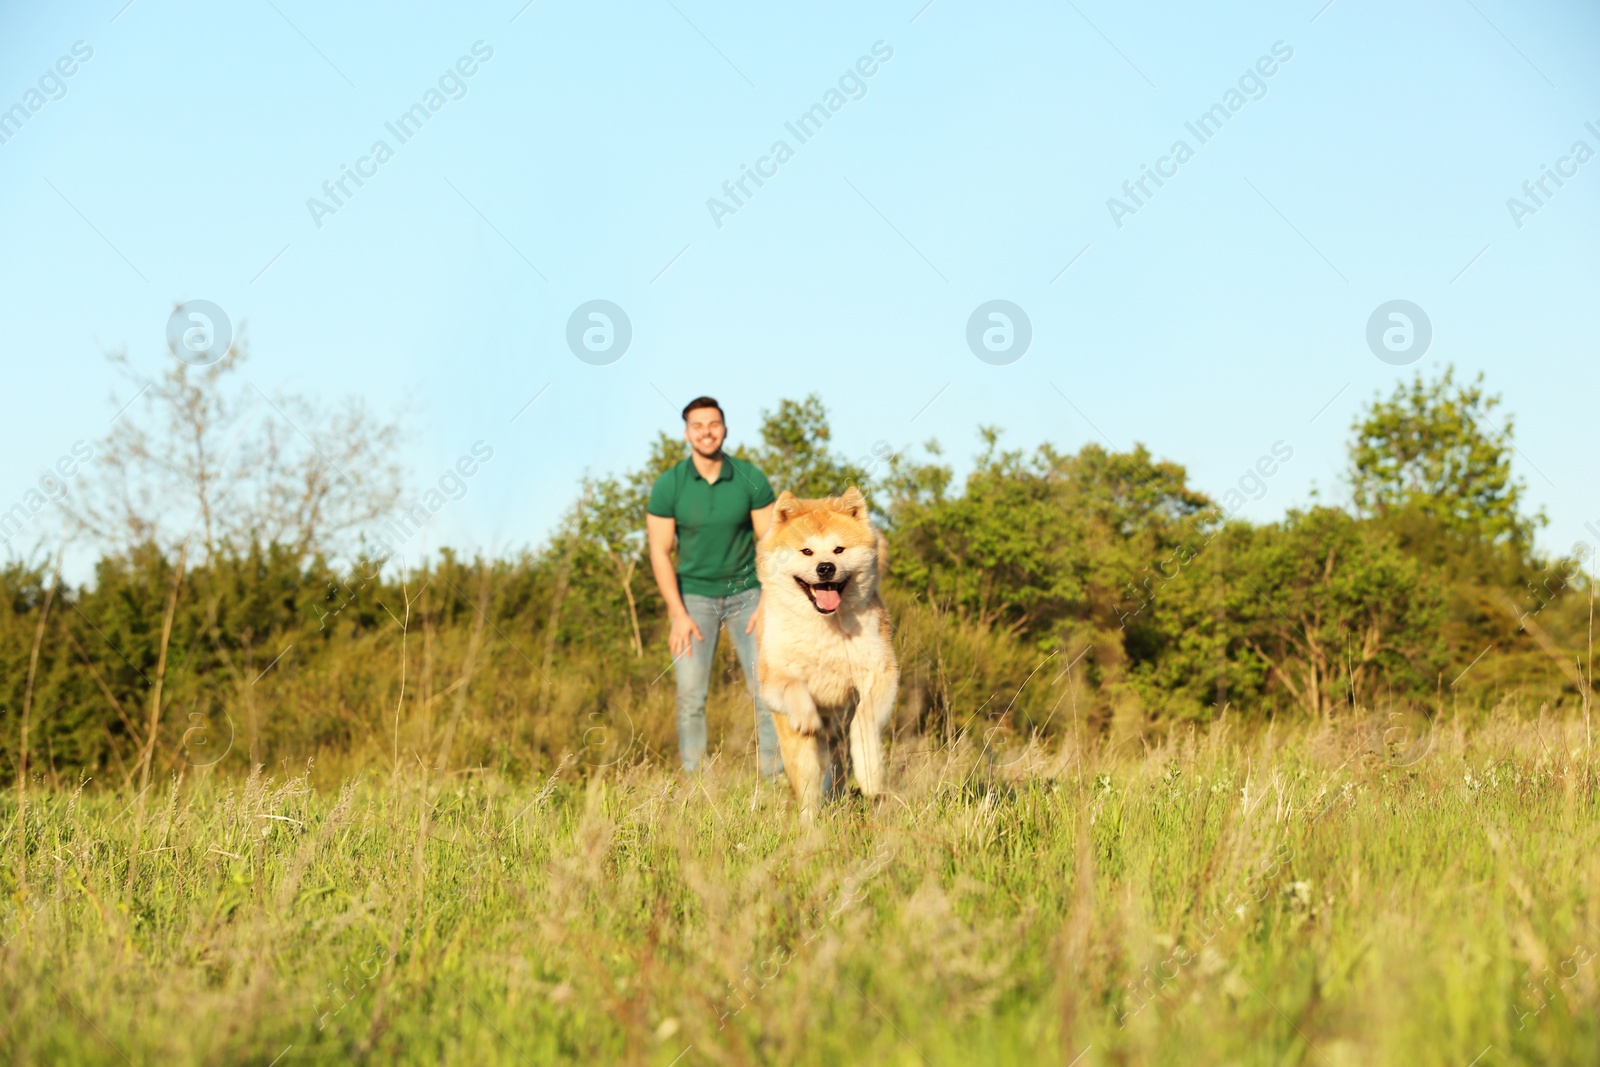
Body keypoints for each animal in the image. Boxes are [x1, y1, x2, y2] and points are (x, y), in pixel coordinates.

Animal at [752, 489, 896, 825]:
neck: (824, 627)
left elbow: (864, 721)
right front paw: (807, 716)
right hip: (800, 752)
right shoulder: (773, 680)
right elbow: (794, 687)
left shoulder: (881, 671)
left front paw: (870, 773)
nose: (826, 568)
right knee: (809, 788)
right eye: (806, 551)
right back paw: (810, 823)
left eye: (838, 549)